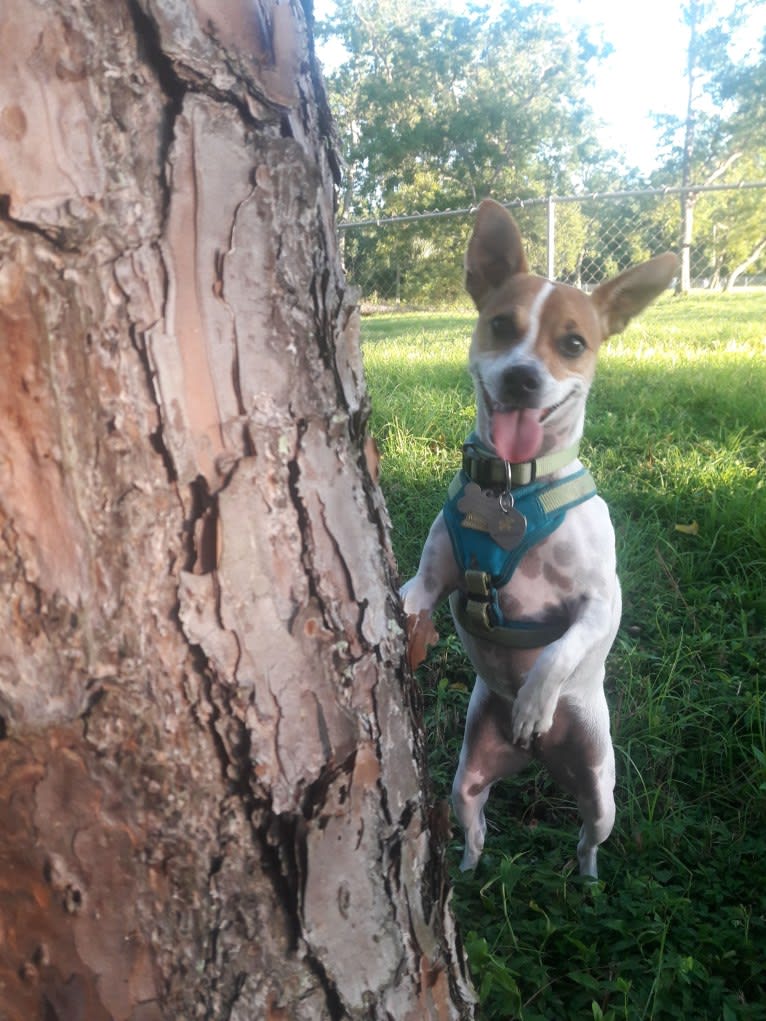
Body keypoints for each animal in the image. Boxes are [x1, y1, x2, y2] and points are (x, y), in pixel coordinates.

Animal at [402, 201, 678, 878]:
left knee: (588, 835)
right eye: (501, 325)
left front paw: (533, 701)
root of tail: (536, 760)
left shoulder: (602, 604)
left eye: (574, 344)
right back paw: (468, 871)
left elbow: (560, 649)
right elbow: (412, 596)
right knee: (474, 829)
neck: (513, 489)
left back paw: (587, 879)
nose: (525, 378)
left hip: (601, 789)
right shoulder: (434, 578)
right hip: (467, 779)